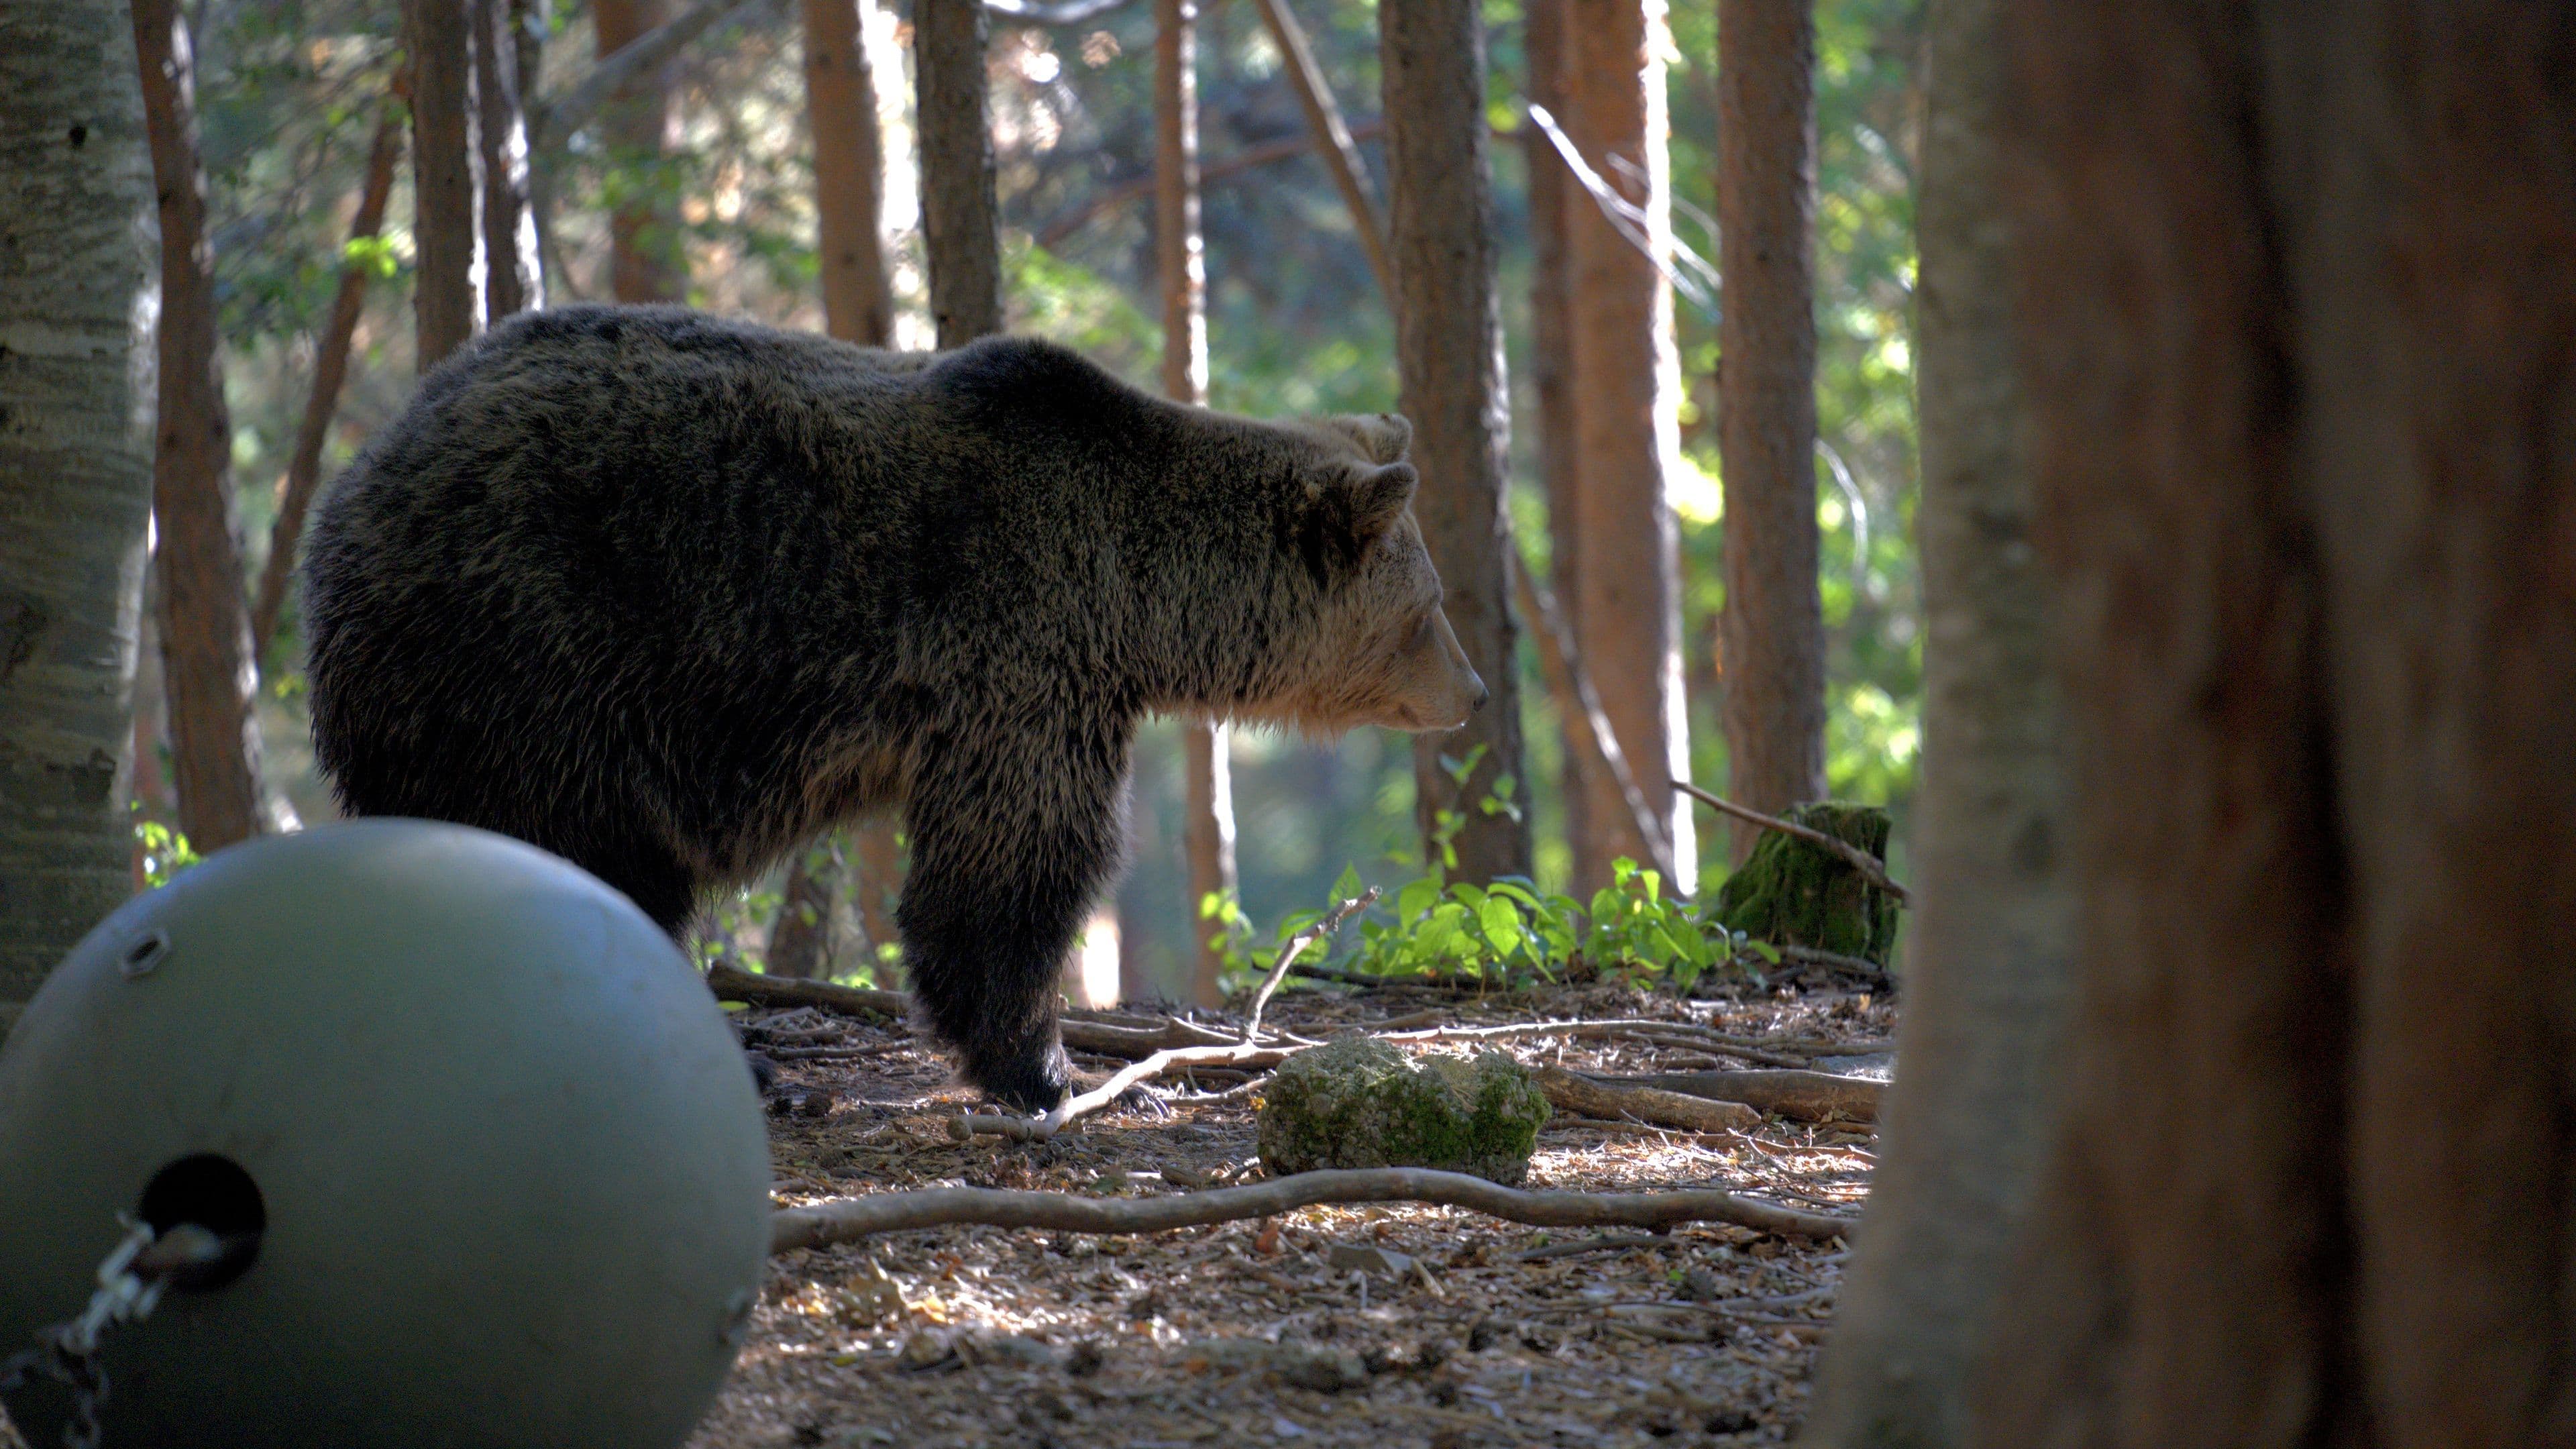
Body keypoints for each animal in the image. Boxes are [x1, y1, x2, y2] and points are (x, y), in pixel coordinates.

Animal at [301, 304, 1486, 1111]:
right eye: (1429, 608)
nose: (1473, 691)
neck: (1137, 596)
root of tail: (361, 477)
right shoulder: (1021, 655)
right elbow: (1015, 867)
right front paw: (1047, 1068)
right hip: (537, 648)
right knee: (581, 858)